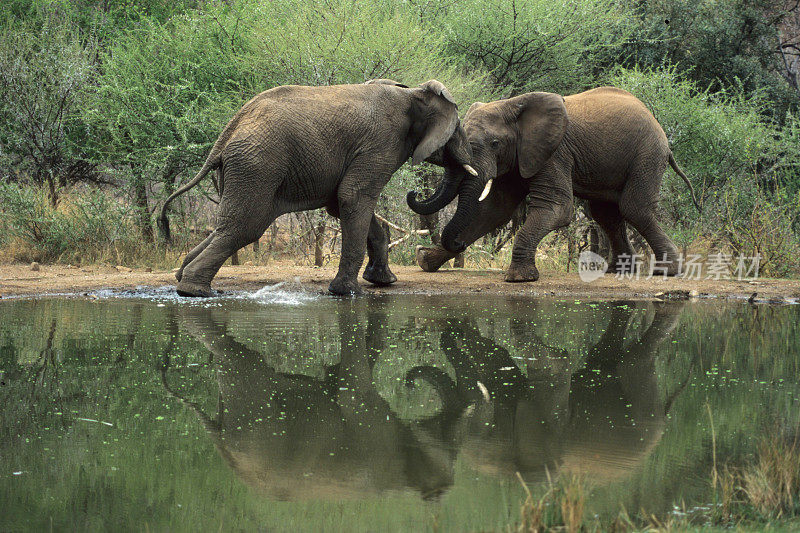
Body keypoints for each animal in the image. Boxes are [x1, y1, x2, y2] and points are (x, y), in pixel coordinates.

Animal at [156, 79, 476, 296]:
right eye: (457, 129)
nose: (415, 192)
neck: (412, 92)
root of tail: (228, 131)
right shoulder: (381, 143)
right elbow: (353, 197)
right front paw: (348, 293)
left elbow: (342, 204)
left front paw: (384, 282)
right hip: (257, 164)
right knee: (246, 226)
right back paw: (195, 291)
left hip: (245, 168)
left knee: (231, 225)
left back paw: (183, 277)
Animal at [159, 302, 478, 500]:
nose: (409, 381)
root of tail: (223, 447)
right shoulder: (376, 434)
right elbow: (353, 392)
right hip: (255, 413)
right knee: (241, 360)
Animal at [406, 85, 700, 280]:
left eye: (495, 143)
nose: (458, 244)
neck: (513, 106)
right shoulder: (519, 157)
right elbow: (493, 211)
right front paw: (425, 261)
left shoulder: (553, 152)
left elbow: (557, 208)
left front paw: (519, 277)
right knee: (605, 214)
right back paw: (618, 271)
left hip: (647, 154)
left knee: (634, 208)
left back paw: (667, 272)